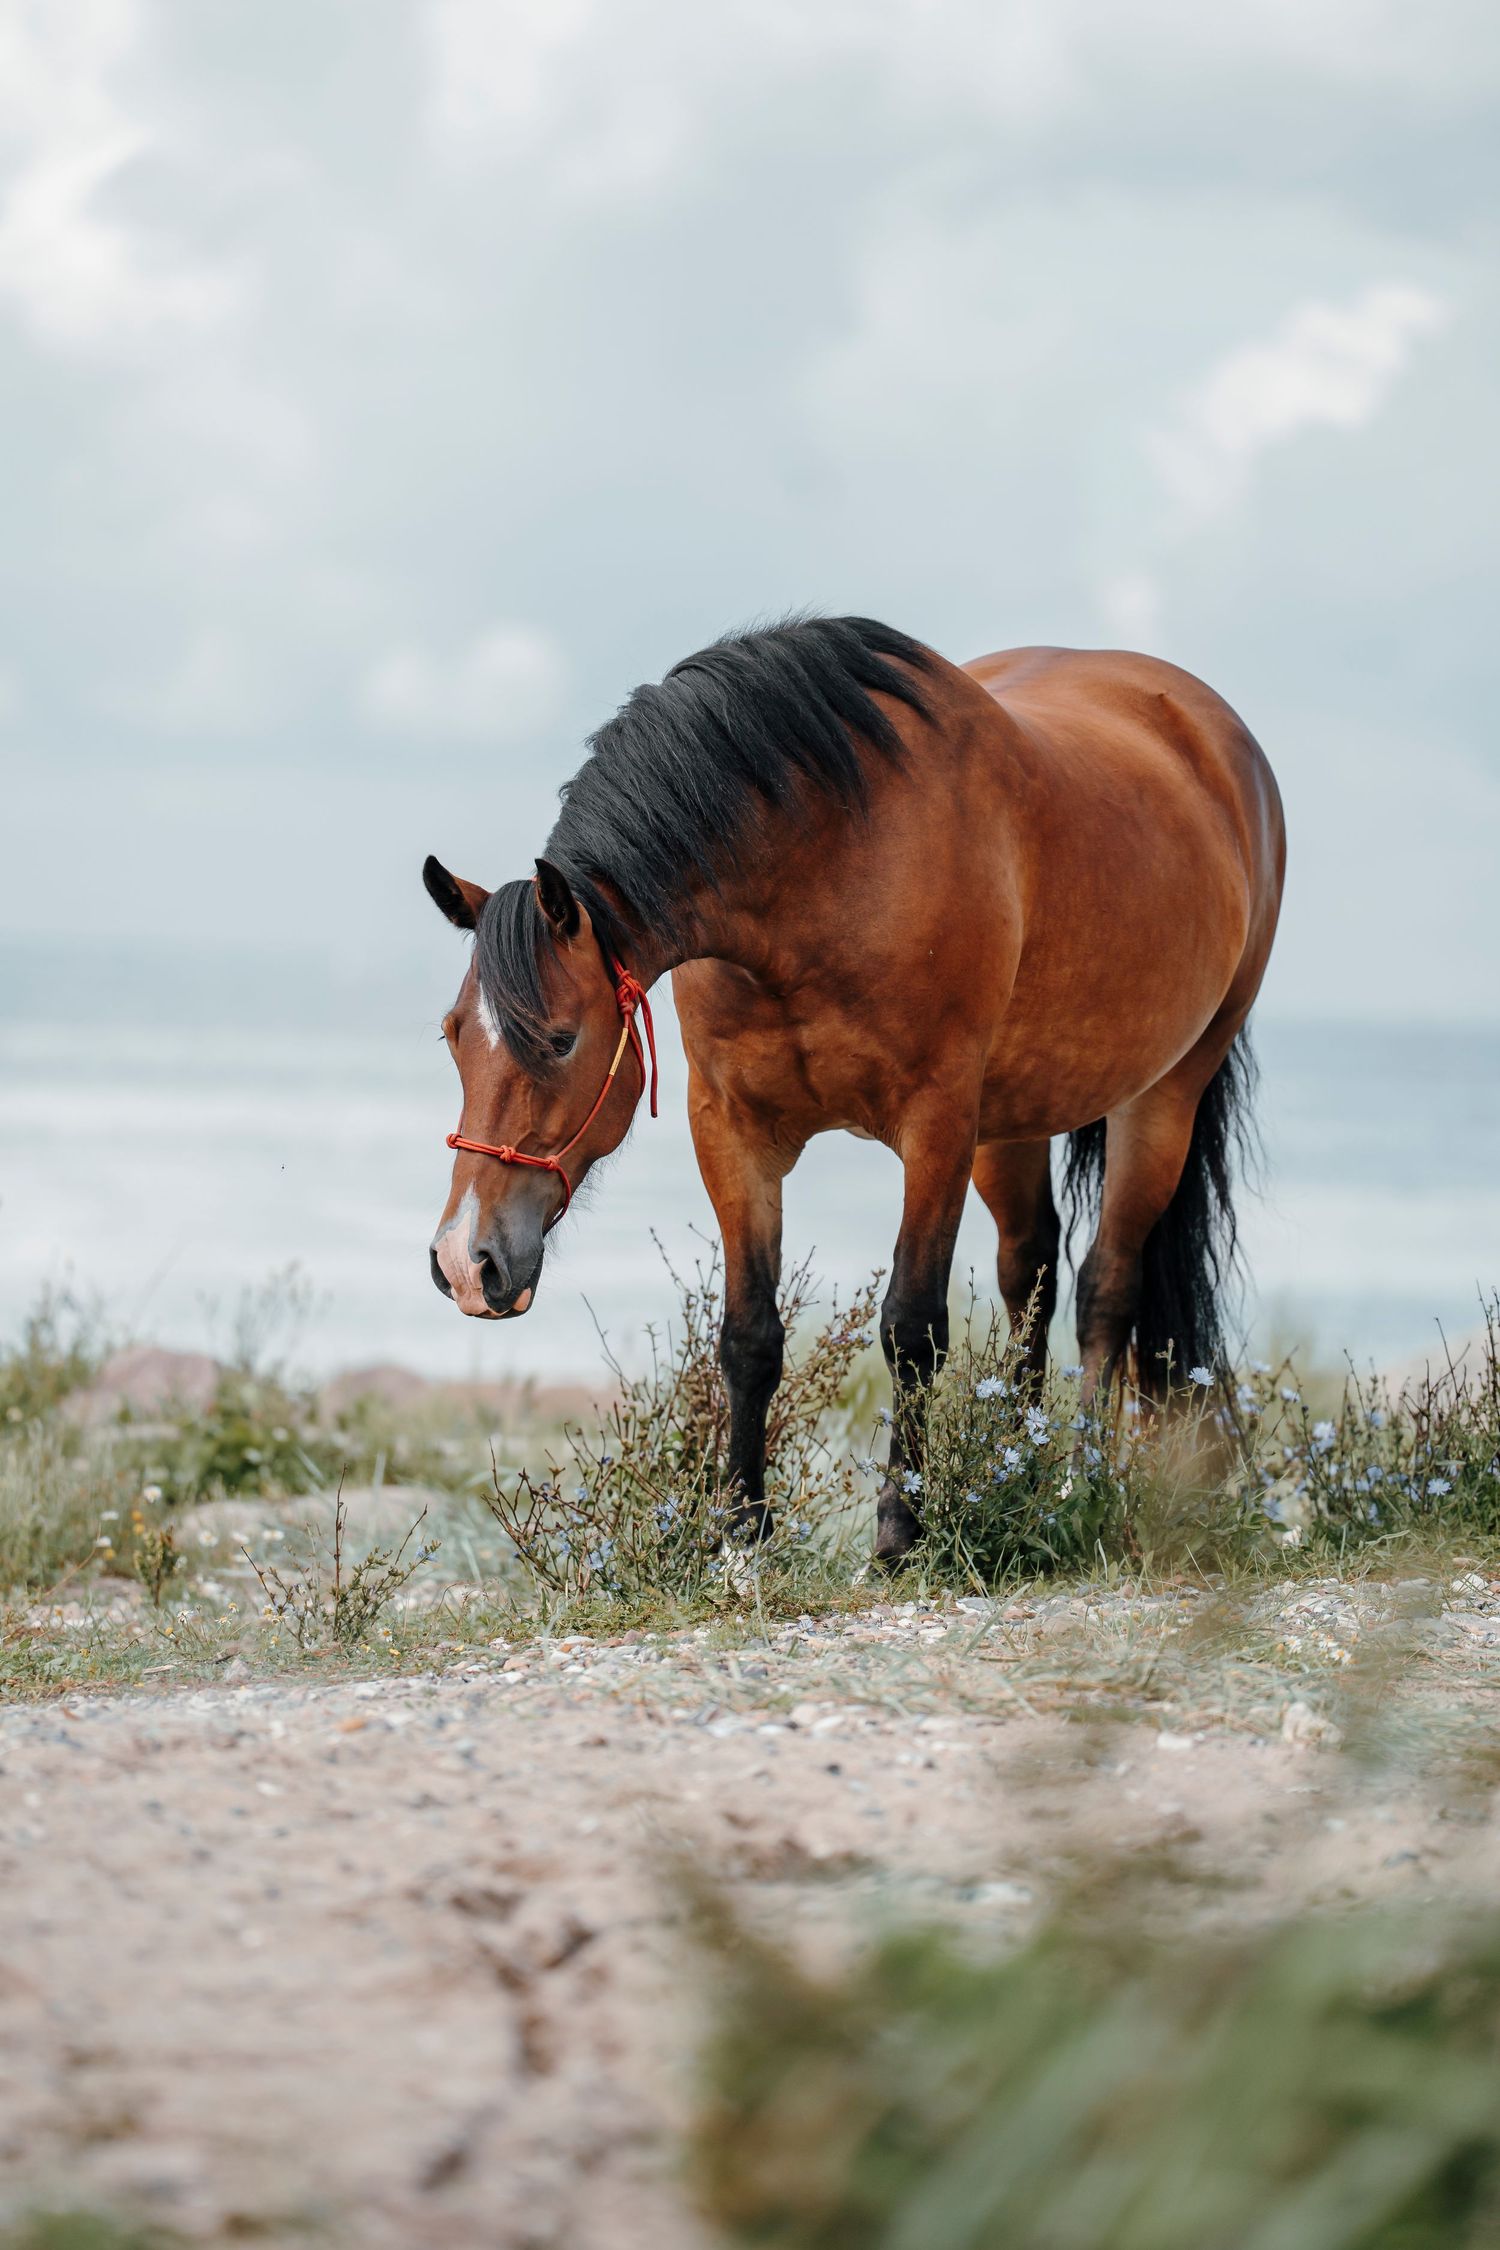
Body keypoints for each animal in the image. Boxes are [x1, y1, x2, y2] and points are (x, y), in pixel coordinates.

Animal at [425, 616, 1284, 1562]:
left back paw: (1076, 1485)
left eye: (560, 1039)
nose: (465, 1262)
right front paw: (742, 1530)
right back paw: (1018, 1472)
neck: (823, 869)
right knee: (1031, 1273)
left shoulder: (938, 1126)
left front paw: (901, 1530)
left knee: (1106, 1292)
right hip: (1013, 1121)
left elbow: (911, 1328)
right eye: (453, 1035)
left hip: (1161, 1096)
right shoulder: (732, 1131)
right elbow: (749, 1334)